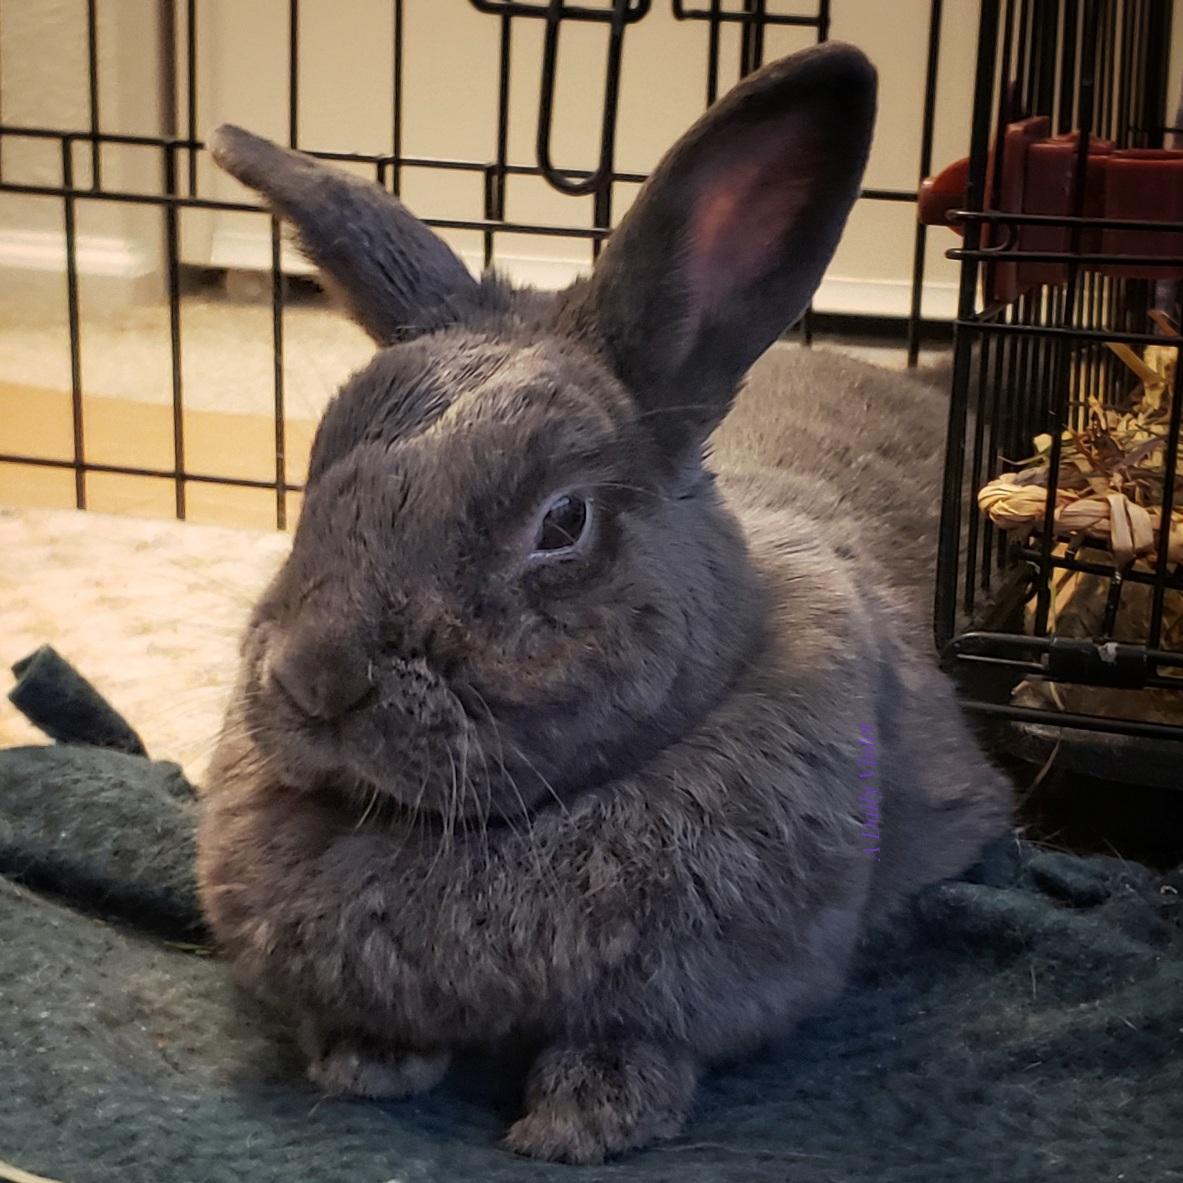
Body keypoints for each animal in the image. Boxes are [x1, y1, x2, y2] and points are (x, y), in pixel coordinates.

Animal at [196, 41, 1012, 1165]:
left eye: (564, 521)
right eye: (315, 473)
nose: (316, 676)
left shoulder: (702, 993)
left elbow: (635, 1039)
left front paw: (583, 1122)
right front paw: (366, 1064)